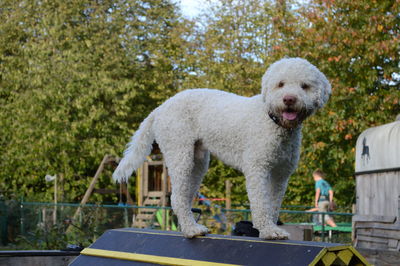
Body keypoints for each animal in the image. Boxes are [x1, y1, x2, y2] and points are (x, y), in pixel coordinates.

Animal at [113, 57, 332, 239]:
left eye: (304, 86)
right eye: (281, 84)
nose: (289, 99)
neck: (272, 121)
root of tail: (161, 107)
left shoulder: (281, 174)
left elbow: (273, 204)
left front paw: (273, 228)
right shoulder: (258, 169)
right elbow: (261, 204)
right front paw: (268, 231)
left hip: (198, 161)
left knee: (185, 197)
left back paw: (193, 227)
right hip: (179, 153)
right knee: (177, 198)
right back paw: (191, 230)